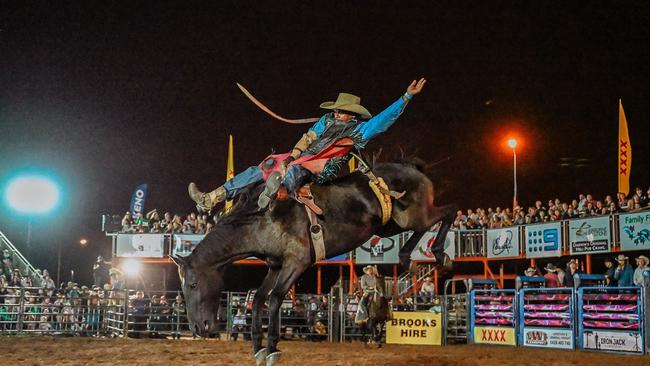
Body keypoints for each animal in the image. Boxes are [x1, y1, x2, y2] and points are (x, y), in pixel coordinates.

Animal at [172, 162, 456, 364]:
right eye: (183, 287)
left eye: (193, 284)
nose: (197, 328)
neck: (260, 218)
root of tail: (414, 168)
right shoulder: (275, 265)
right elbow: (260, 299)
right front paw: (257, 347)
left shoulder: (296, 263)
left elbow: (275, 298)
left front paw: (272, 348)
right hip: (392, 225)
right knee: (421, 228)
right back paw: (408, 257)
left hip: (416, 213)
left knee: (448, 211)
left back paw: (439, 254)